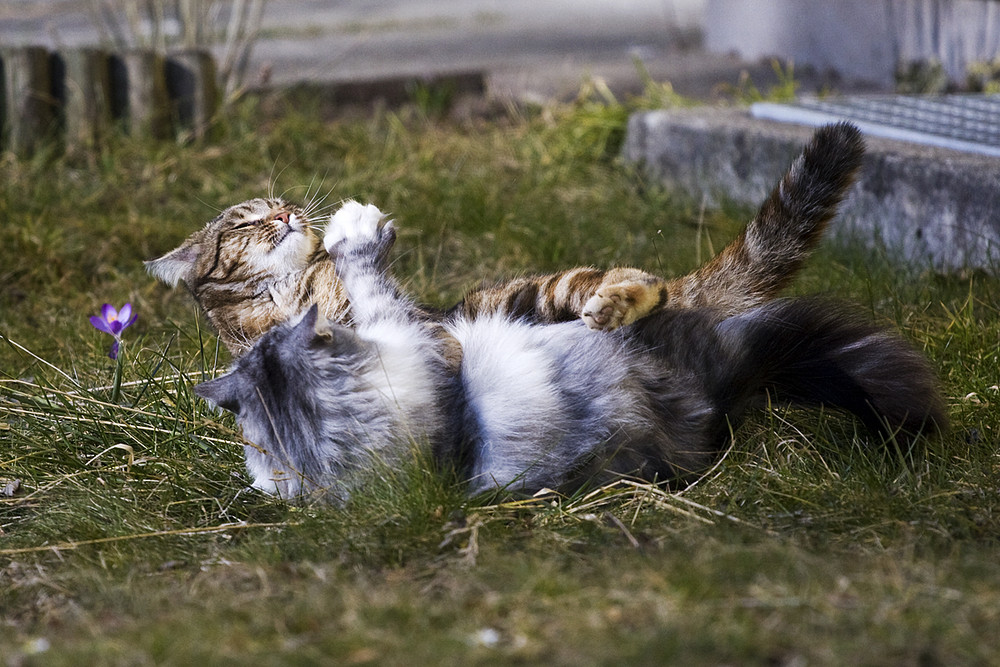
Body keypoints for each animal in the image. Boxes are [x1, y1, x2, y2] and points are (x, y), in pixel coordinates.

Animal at [145, 123, 864, 358]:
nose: (292, 215)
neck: (295, 292)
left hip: (535, 292)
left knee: (640, 281)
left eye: (288, 205)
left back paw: (616, 304)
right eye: (247, 221)